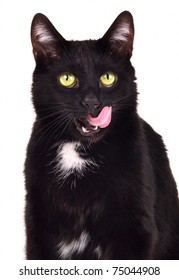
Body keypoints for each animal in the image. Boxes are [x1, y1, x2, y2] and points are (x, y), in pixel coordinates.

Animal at [24, 11, 179, 260]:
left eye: (108, 77)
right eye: (66, 78)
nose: (92, 103)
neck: (79, 150)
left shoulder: (134, 230)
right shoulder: (38, 224)